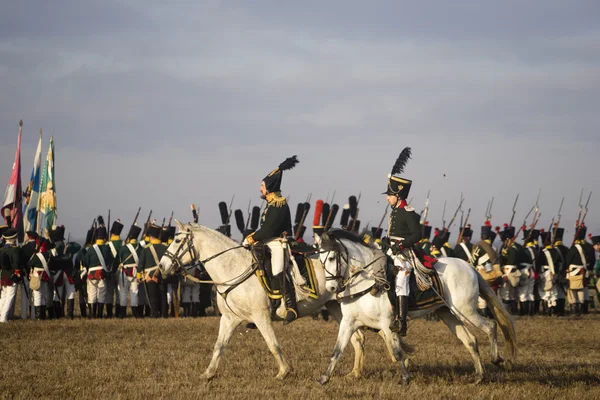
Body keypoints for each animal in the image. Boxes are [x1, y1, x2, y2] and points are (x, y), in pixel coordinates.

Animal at [157, 222, 372, 382]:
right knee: (357, 338)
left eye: (178, 240)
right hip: (337, 308)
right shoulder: (229, 318)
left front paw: (284, 372)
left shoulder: (261, 316)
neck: (234, 267)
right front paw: (208, 373)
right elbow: (219, 345)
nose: (161, 266)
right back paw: (355, 373)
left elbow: (272, 344)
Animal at [316, 231, 516, 384]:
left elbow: (397, 353)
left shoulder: (387, 324)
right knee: (471, 341)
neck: (367, 281)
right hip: (448, 314)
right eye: (320, 260)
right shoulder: (348, 323)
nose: (331, 288)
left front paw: (405, 378)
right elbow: (337, 351)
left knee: (490, 325)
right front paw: (324, 378)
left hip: (466, 312)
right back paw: (479, 376)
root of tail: (469, 267)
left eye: (332, 258)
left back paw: (496, 359)